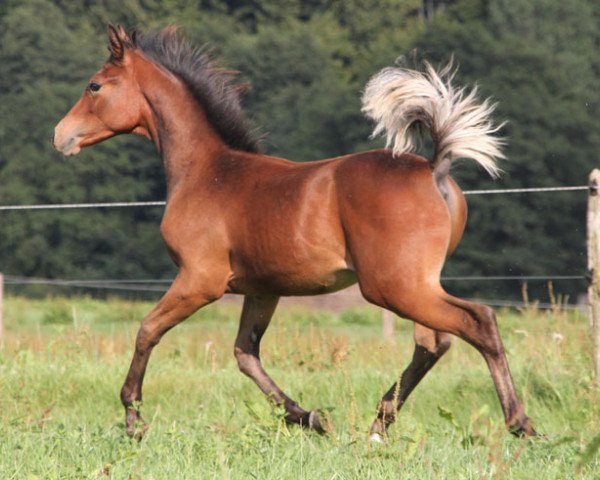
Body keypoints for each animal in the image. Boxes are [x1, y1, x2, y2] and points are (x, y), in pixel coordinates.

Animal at [54, 25, 536, 438]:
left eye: (94, 85)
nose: (60, 136)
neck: (205, 172)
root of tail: (433, 167)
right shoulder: (262, 289)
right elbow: (245, 354)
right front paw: (312, 418)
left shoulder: (199, 280)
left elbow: (147, 330)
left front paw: (133, 420)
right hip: (414, 284)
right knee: (432, 342)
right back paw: (379, 425)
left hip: (393, 286)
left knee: (477, 321)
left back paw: (519, 423)